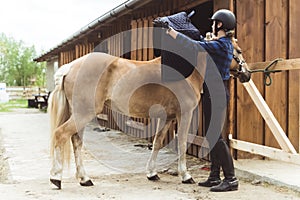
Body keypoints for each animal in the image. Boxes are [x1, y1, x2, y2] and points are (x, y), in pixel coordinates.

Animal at [48, 38, 251, 189]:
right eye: (239, 50)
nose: (247, 74)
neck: (186, 71)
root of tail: (70, 67)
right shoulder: (184, 114)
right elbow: (182, 142)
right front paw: (185, 175)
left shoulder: (167, 118)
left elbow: (157, 142)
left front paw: (152, 173)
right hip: (84, 113)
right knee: (60, 135)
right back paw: (56, 178)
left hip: (79, 114)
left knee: (76, 141)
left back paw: (84, 179)